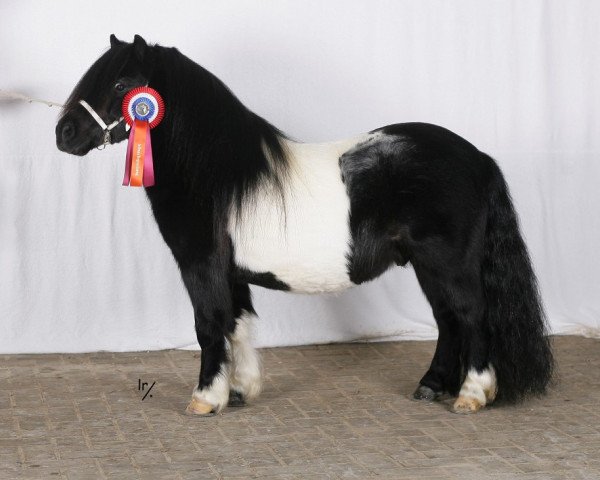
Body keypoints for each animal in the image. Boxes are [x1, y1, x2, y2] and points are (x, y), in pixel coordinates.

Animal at [56, 33, 552, 416]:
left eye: (122, 83)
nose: (64, 133)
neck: (216, 174)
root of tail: (478, 158)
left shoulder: (202, 265)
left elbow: (209, 325)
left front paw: (206, 399)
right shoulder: (232, 272)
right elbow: (238, 323)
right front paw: (241, 389)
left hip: (449, 263)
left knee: (472, 317)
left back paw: (472, 395)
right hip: (427, 265)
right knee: (448, 320)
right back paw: (431, 386)